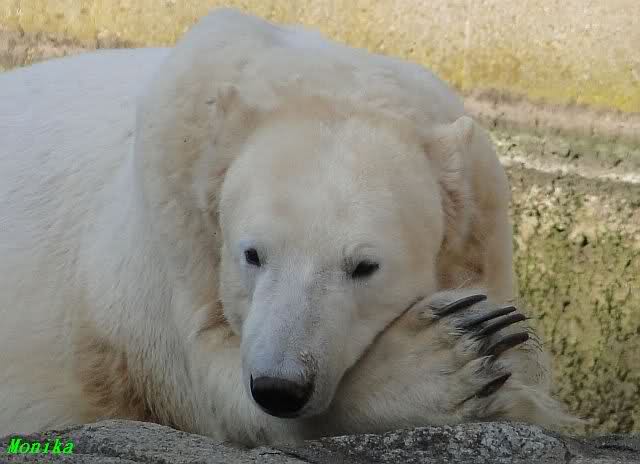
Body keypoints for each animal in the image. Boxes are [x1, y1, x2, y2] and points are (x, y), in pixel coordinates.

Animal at [0, 8, 574, 445]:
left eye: (364, 266)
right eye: (252, 254)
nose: (281, 385)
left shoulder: (482, 221)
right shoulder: (173, 225)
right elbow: (214, 387)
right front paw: (453, 354)